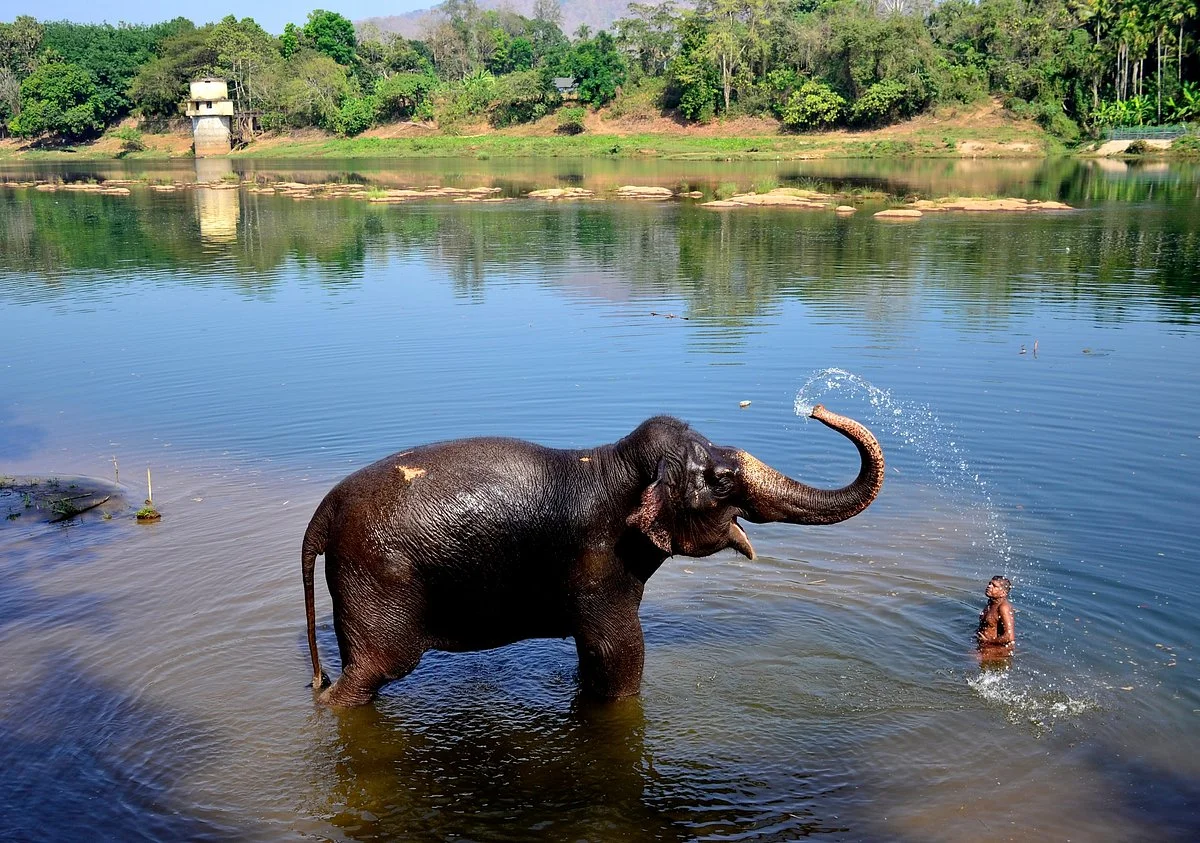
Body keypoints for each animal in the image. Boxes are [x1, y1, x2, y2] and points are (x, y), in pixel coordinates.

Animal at [302, 405, 884, 707]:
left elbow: (594, 657)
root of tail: (322, 514)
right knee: (374, 672)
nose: (815, 409)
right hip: (377, 583)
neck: (615, 464)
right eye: (720, 480)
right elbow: (620, 654)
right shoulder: (598, 563)